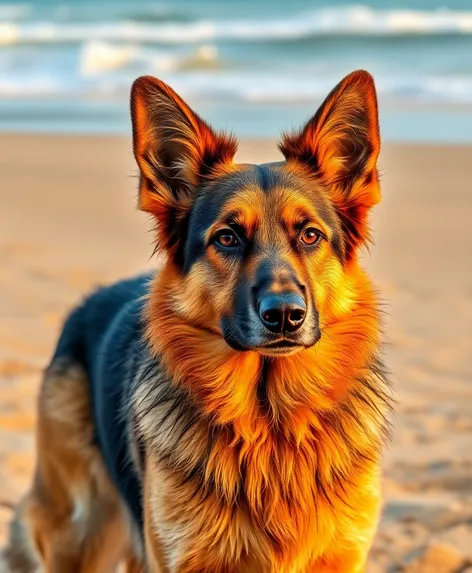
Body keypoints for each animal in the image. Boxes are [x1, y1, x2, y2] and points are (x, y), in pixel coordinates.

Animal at [5, 69, 392, 568]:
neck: (270, 429)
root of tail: (89, 303)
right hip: (80, 533)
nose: (286, 316)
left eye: (310, 236)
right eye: (227, 238)